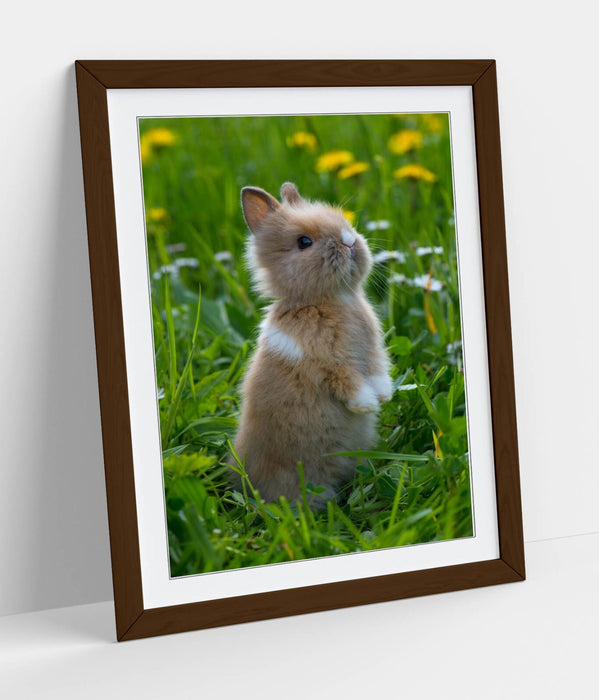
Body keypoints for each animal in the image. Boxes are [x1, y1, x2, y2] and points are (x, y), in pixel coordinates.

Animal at [231, 182, 392, 506]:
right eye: (304, 242)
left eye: (345, 223)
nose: (349, 241)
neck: (330, 299)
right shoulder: (326, 361)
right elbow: (347, 380)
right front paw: (367, 404)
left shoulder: (371, 349)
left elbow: (377, 367)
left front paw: (383, 396)